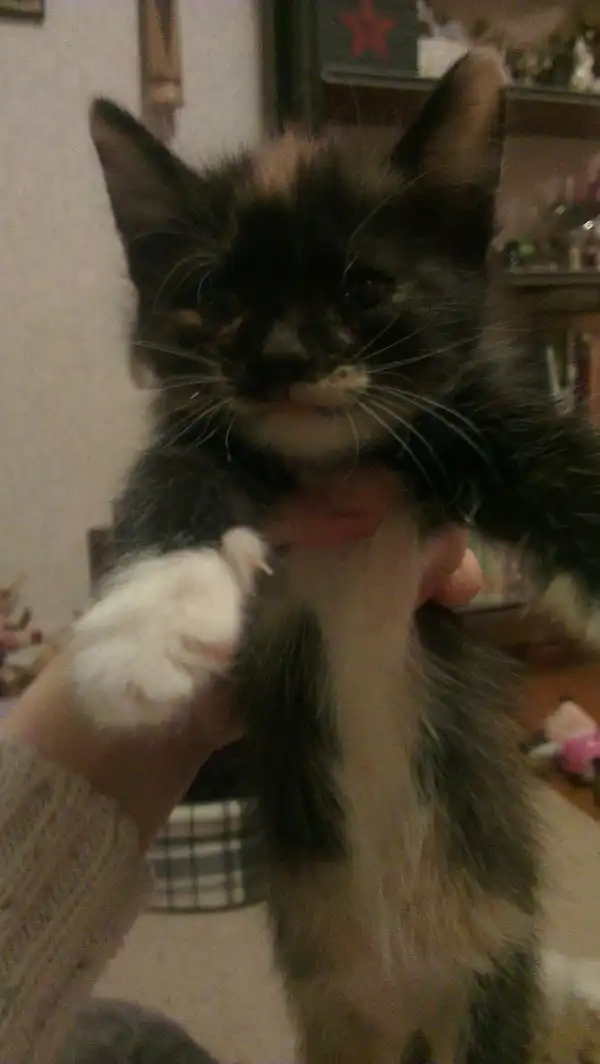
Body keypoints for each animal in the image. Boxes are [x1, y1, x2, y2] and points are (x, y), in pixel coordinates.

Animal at [71, 49, 600, 1064]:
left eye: (364, 288)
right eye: (216, 295)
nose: (281, 357)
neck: (332, 466)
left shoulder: (459, 426)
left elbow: (552, 452)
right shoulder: (205, 439)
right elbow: (173, 469)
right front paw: (147, 626)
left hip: (490, 996)